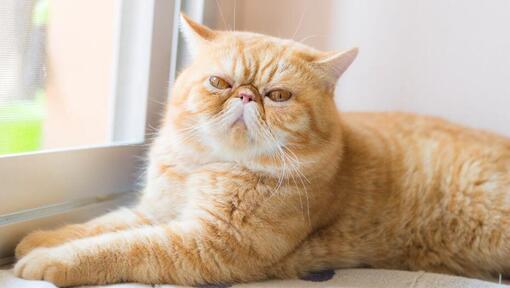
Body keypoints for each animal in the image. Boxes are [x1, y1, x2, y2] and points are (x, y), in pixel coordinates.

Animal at [11, 12, 510, 286]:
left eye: (279, 95)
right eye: (220, 83)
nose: (247, 96)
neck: (208, 166)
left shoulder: (208, 244)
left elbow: (121, 247)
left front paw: (49, 259)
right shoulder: (157, 211)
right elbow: (105, 224)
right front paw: (42, 237)